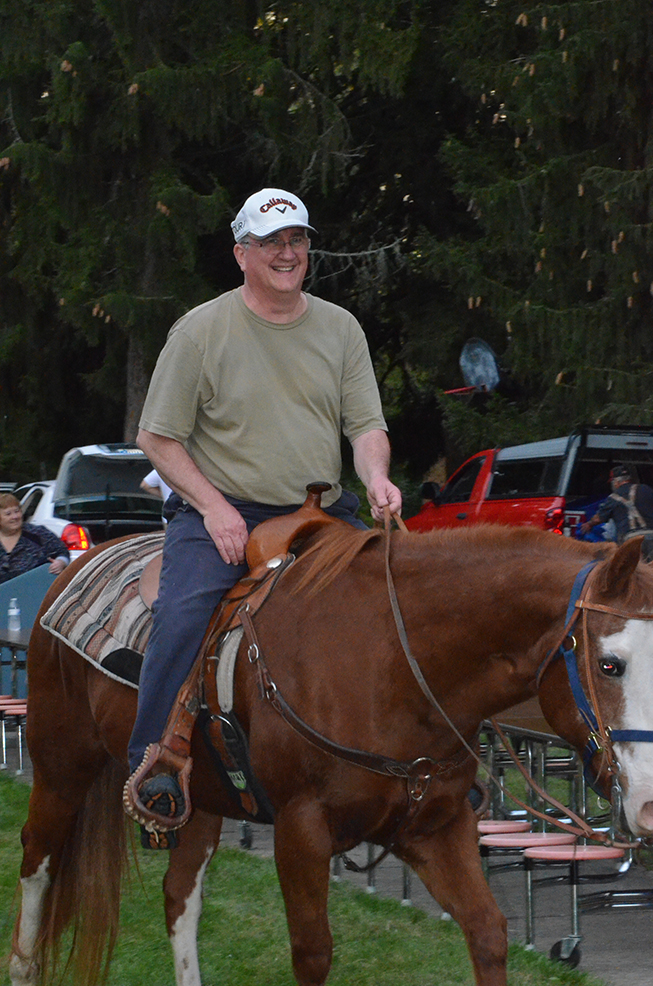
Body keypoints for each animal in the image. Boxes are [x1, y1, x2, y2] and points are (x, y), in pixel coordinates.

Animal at [10, 524, 653, 984]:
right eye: (608, 664)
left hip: (199, 803)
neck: (394, 664)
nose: (647, 808)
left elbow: (489, 933)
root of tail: (76, 563)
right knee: (36, 861)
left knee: (180, 897)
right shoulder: (302, 831)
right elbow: (313, 952)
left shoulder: (434, 828)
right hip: (61, 768)